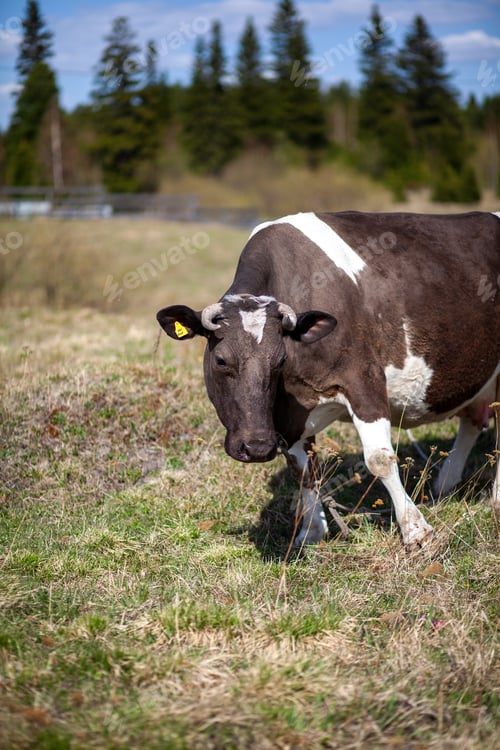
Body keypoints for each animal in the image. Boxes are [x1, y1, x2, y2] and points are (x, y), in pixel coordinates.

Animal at [157, 211, 500, 548]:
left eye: (280, 360)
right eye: (221, 360)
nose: (256, 447)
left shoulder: (364, 380)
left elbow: (379, 459)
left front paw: (416, 531)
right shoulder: (287, 418)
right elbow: (303, 470)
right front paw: (311, 532)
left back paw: (494, 499)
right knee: (474, 420)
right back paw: (446, 483)